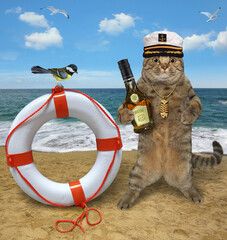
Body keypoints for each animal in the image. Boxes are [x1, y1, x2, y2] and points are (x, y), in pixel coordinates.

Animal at [118, 31, 223, 208]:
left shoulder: (192, 95)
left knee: (187, 185)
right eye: (155, 59)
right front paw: (128, 115)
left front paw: (186, 117)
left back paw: (193, 194)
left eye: (172, 60)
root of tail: (162, 171)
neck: (163, 87)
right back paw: (126, 199)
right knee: (134, 185)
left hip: (186, 172)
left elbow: (196, 106)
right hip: (139, 170)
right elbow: (121, 111)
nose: (165, 65)